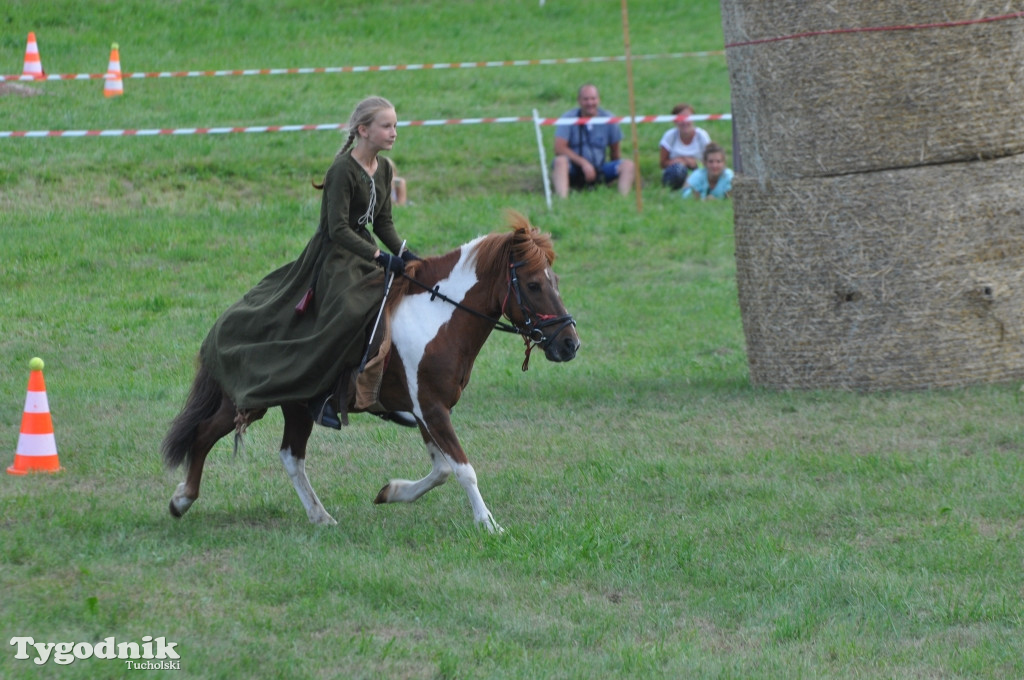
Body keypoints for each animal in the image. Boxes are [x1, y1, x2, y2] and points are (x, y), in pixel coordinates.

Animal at [159, 210, 577, 532]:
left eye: (556, 281)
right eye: (534, 285)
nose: (570, 344)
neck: (439, 317)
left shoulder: (425, 410)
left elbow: (442, 469)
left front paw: (390, 492)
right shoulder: (431, 408)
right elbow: (462, 469)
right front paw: (489, 525)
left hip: (297, 405)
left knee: (291, 456)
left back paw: (320, 516)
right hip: (251, 400)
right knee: (204, 433)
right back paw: (182, 500)